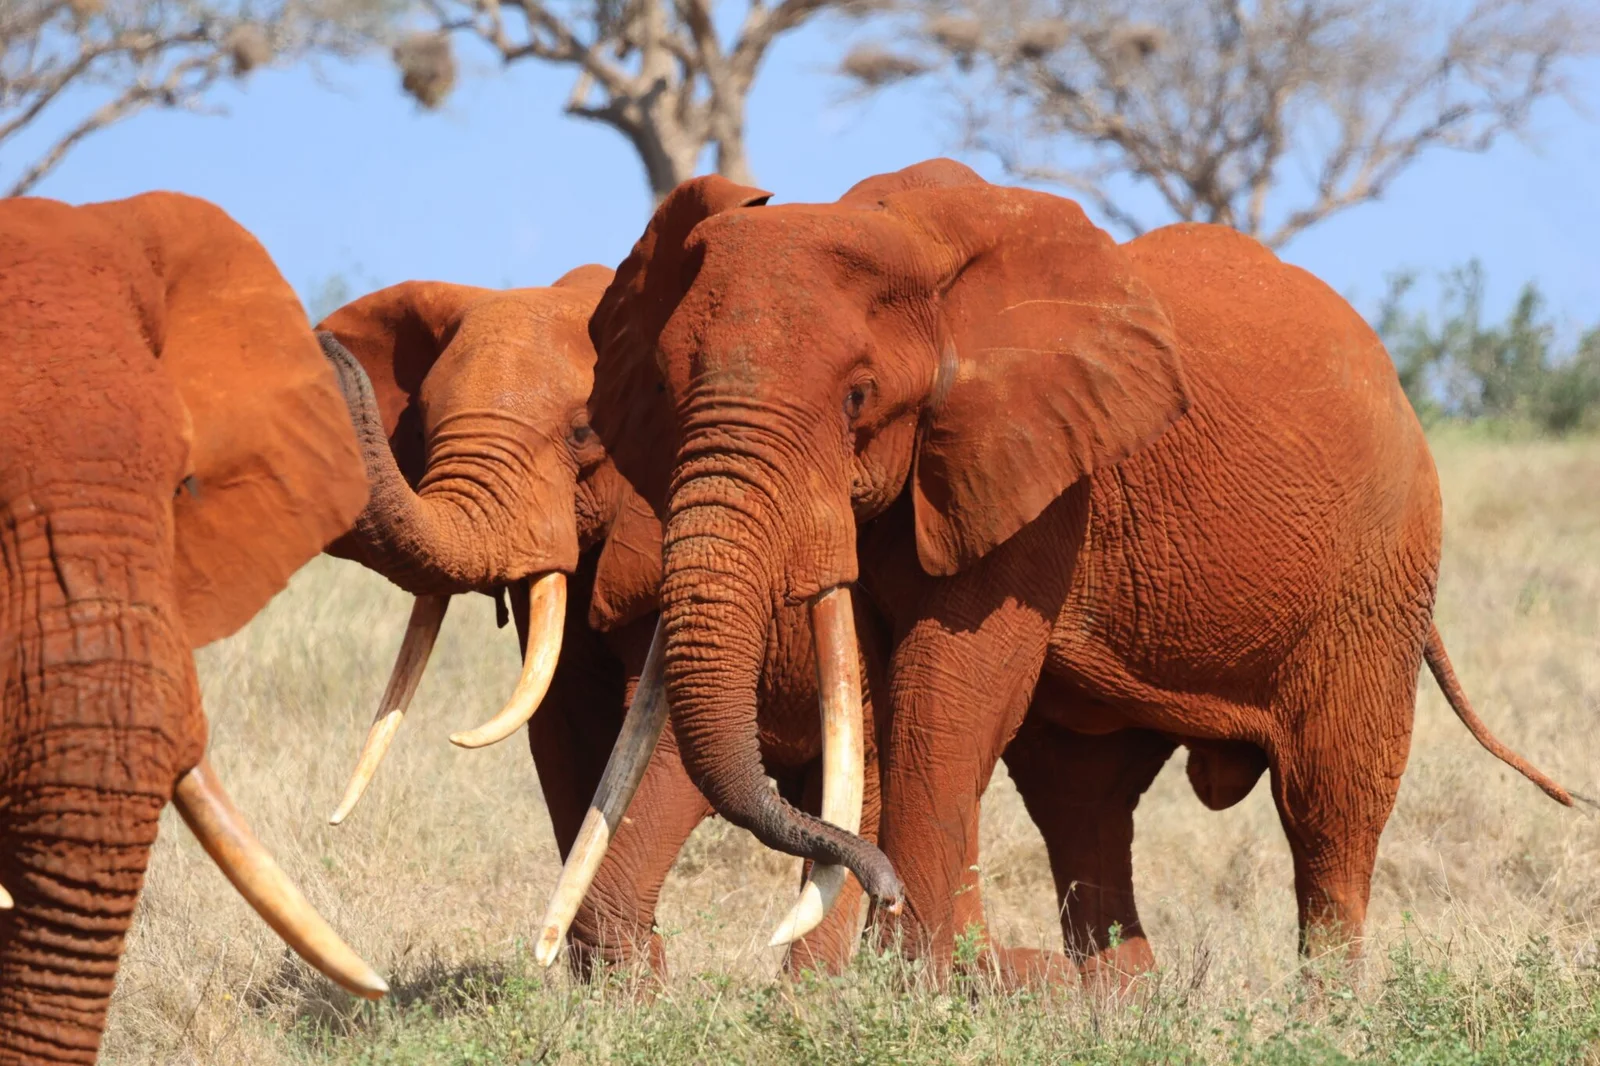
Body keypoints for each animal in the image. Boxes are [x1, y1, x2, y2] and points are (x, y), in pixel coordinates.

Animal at [551, 158, 1573, 981]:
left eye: (857, 398)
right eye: (667, 390)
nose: (872, 880)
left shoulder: (1043, 476)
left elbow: (951, 685)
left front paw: (912, 988)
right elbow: (898, 696)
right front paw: (920, 980)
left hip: (1377, 573)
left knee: (1331, 801)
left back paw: (1328, 1019)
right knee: (1083, 800)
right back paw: (1127, 1000)